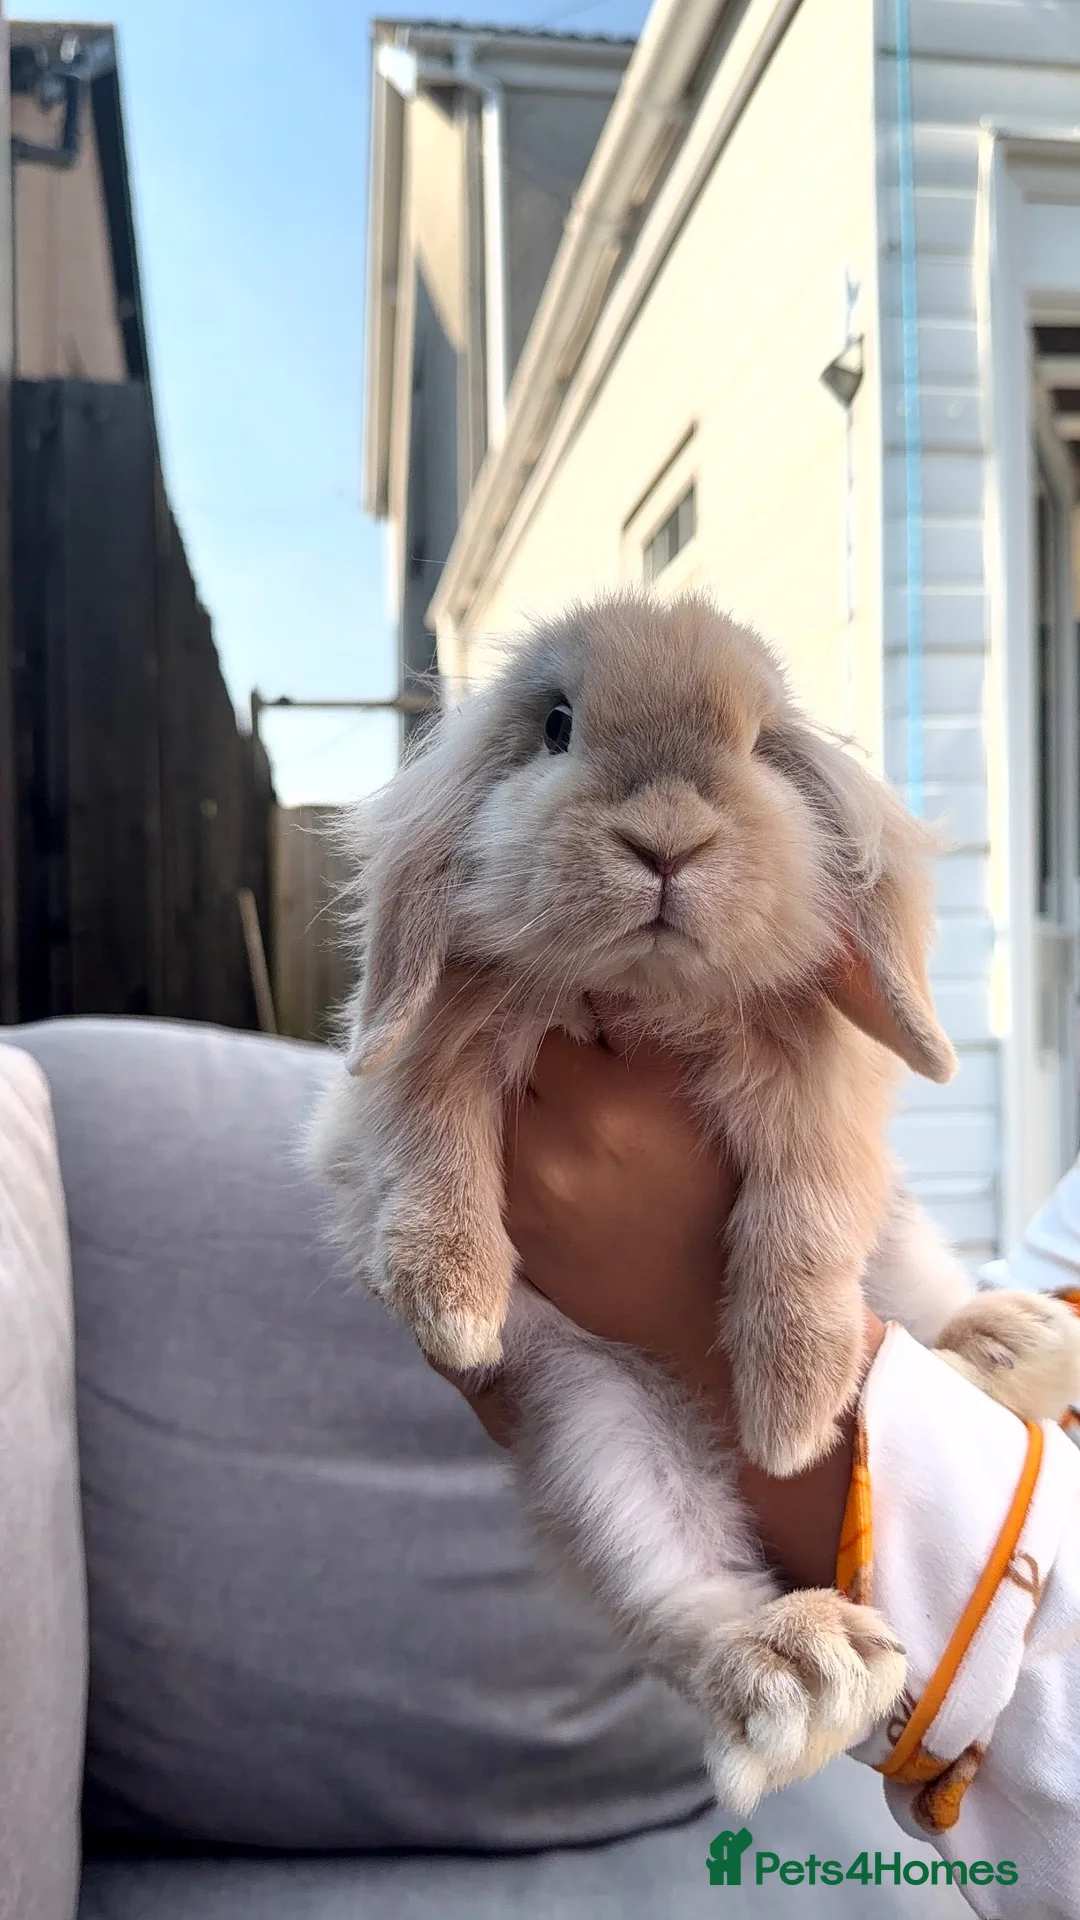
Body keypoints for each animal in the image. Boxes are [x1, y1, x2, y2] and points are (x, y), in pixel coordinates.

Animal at [311, 590, 1080, 1812]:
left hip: (900, 1248)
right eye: (557, 727)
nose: (666, 839)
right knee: (681, 1592)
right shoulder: (414, 1078)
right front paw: (454, 1305)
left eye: (760, 746)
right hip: (598, 1435)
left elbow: (805, 1219)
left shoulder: (821, 1104)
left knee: (917, 1303)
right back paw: (799, 1671)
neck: (643, 995)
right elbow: (428, 1142)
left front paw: (795, 1405)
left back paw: (1007, 1344)